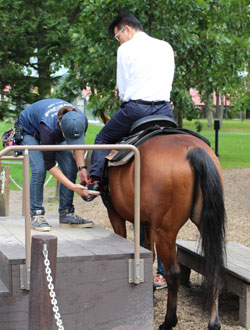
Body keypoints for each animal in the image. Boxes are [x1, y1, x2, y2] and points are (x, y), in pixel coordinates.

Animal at [102, 133, 226, 328]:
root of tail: (193, 149)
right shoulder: (148, 225)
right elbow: (149, 255)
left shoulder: (115, 215)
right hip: (204, 226)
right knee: (213, 269)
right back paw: (214, 322)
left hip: (165, 233)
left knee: (174, 273)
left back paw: (169, 321)